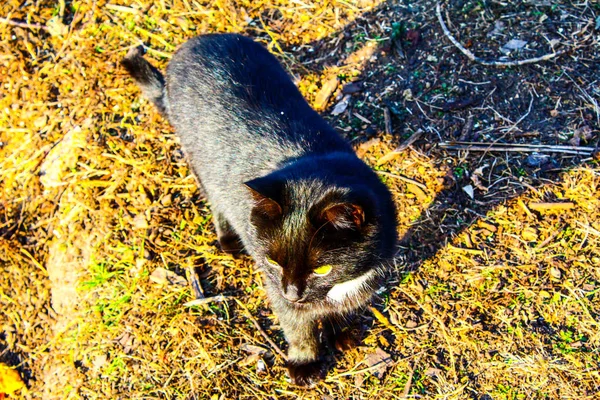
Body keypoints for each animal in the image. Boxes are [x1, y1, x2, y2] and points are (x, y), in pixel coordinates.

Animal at [122, 35, 396, 388]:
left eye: (321, 269)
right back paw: (229, 241)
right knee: (214, 197)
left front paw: (342, 332)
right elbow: (297, 325)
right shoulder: (276, 288)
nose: (292, 293)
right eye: (273, 262)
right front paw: (305, 363)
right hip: (198, 158)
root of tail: (198, 41)